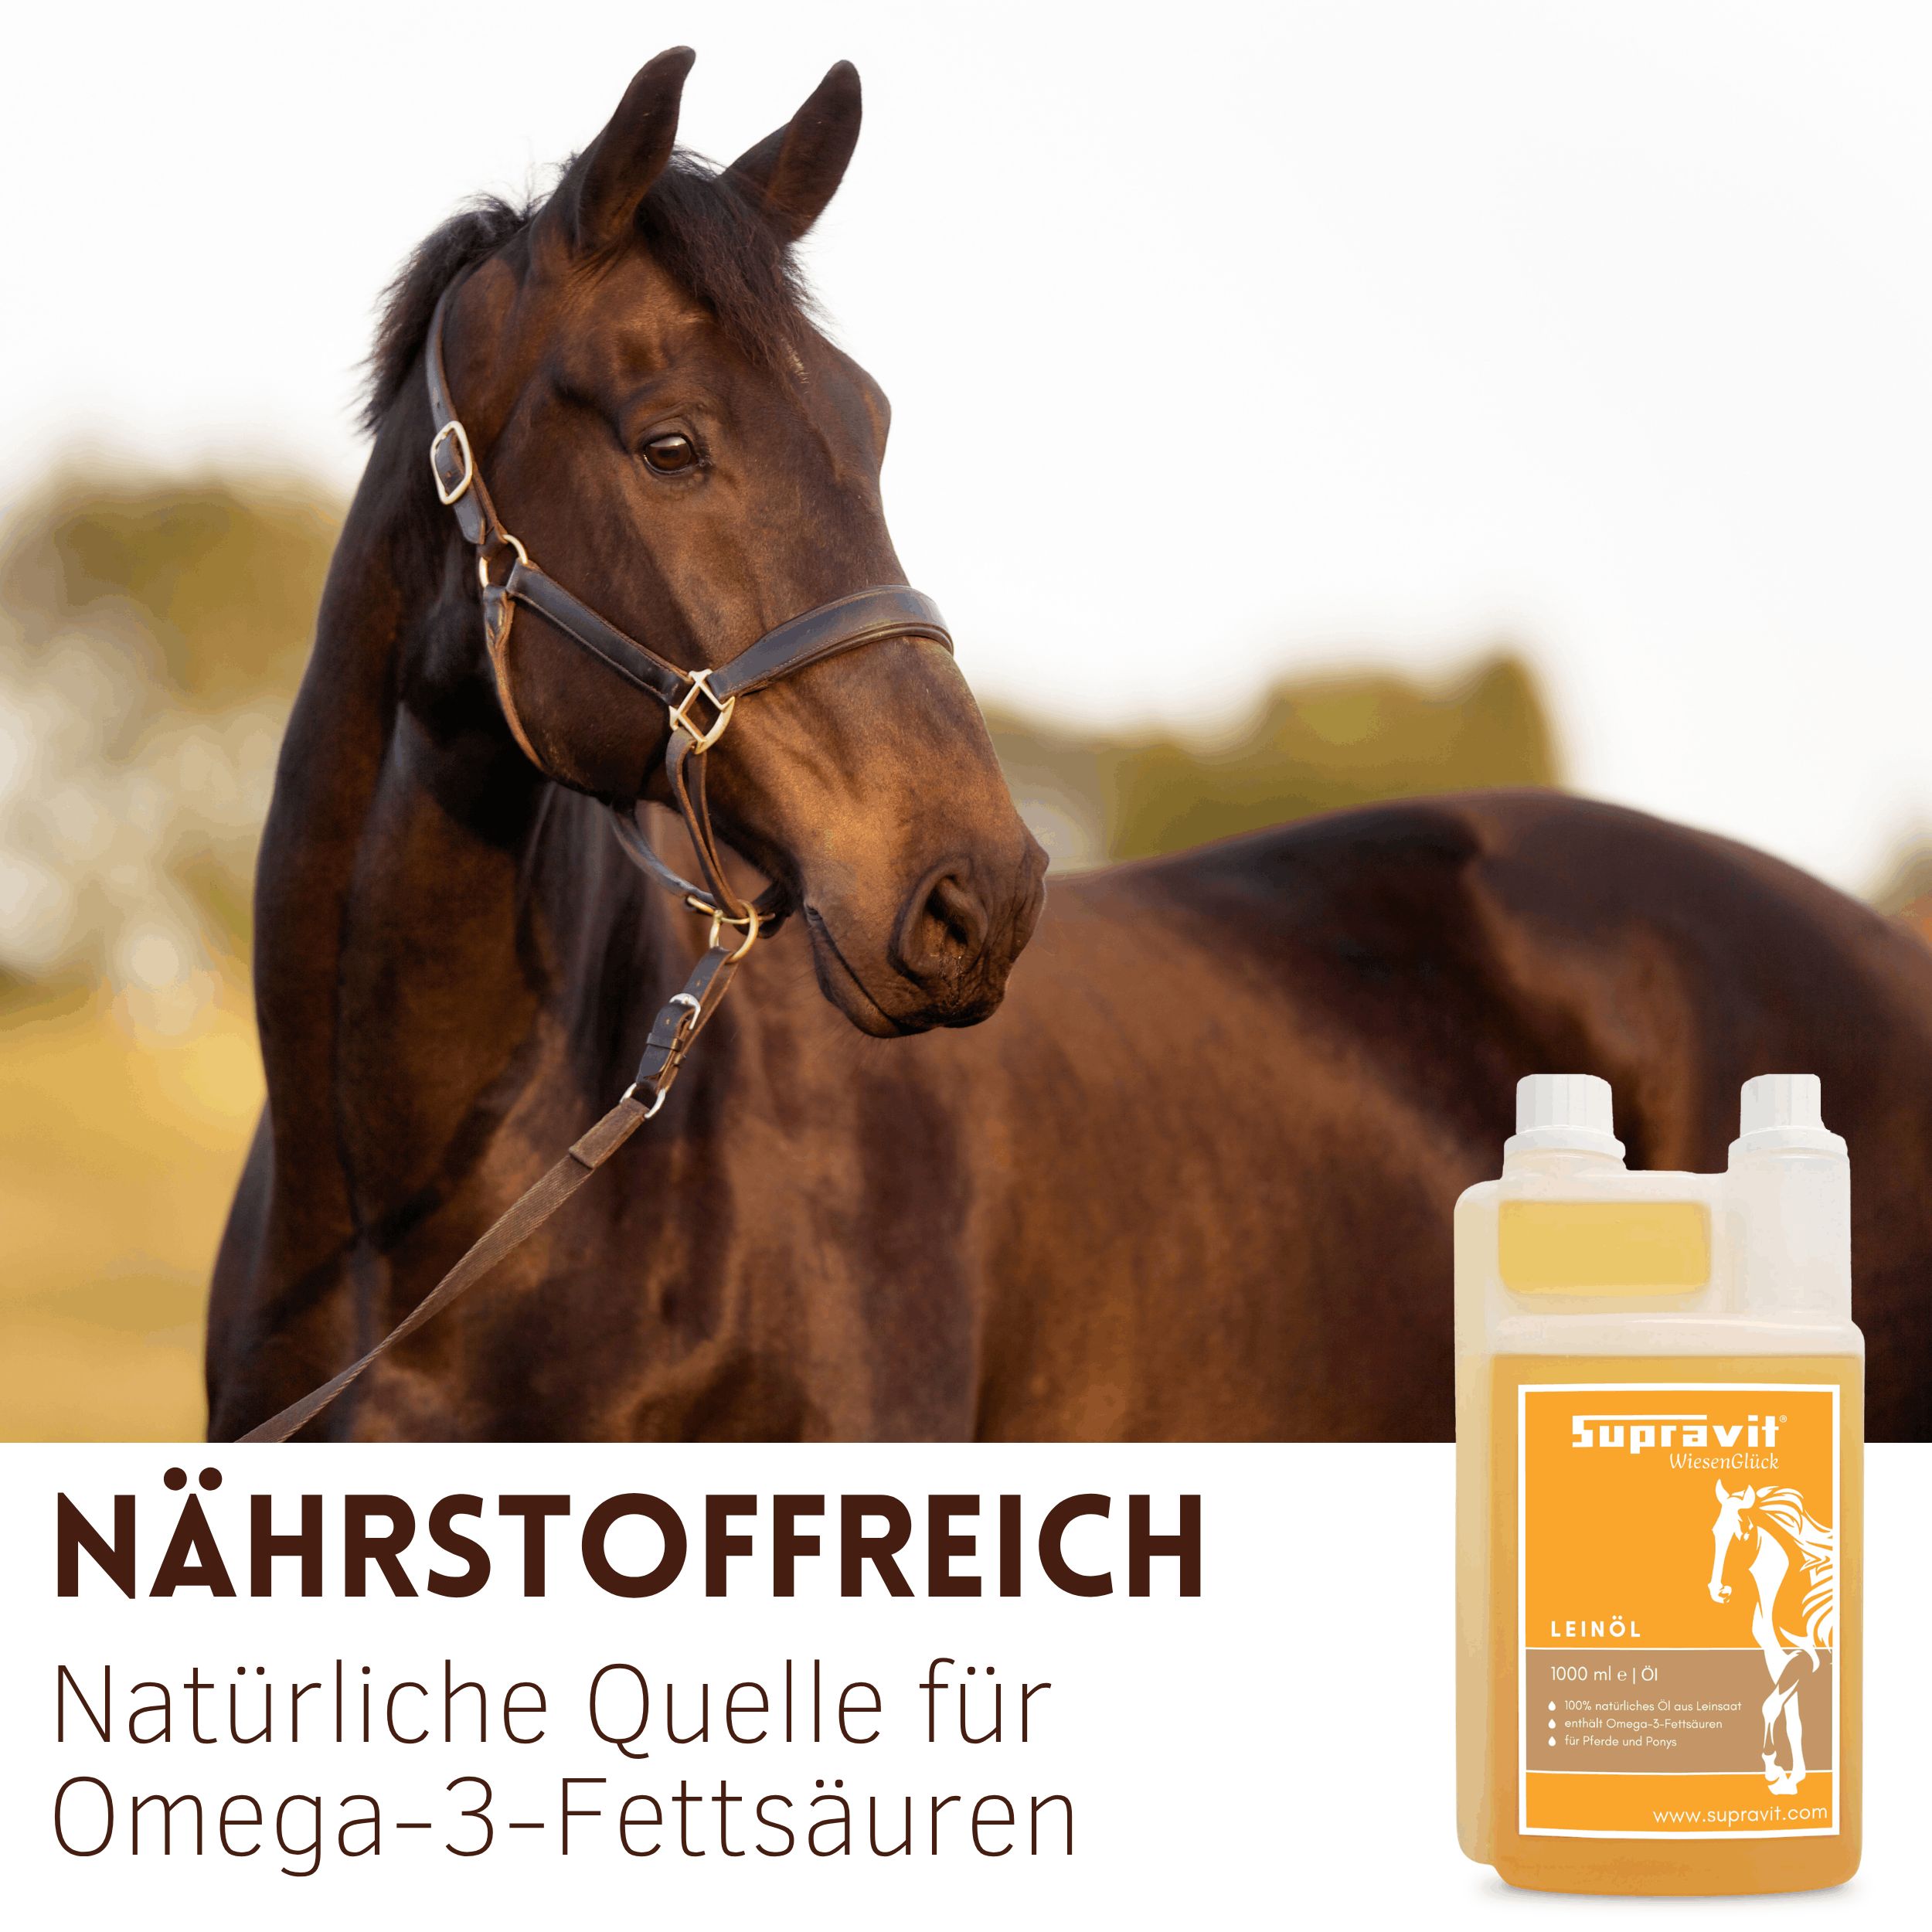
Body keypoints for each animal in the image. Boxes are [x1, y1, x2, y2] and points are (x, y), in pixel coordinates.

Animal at [1709, 1482, 1837, 1792]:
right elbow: (1792, 1721)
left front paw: (1773, 1767)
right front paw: (1794, 1775)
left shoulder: (1807, 1659)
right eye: (1715, 1531)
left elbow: (1769, 1707)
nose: (1718, 1591)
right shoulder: (1780, 1661)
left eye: (1742, 1533)